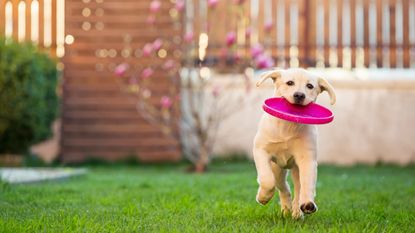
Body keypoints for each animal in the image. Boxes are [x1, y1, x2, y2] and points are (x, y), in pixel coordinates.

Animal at [254, 67, 338, 218]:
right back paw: (286, 208)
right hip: (277, 169)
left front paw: (307, 204)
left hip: (296, 168)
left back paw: (297, 210)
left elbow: (307, 183)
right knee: (283, 187)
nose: (299, 95)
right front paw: (263, 197)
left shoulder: (307, 159)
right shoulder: (260, 150)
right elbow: (267, 179)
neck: (288, 126)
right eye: (290, 83)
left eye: (309, 86)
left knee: (298, 187)